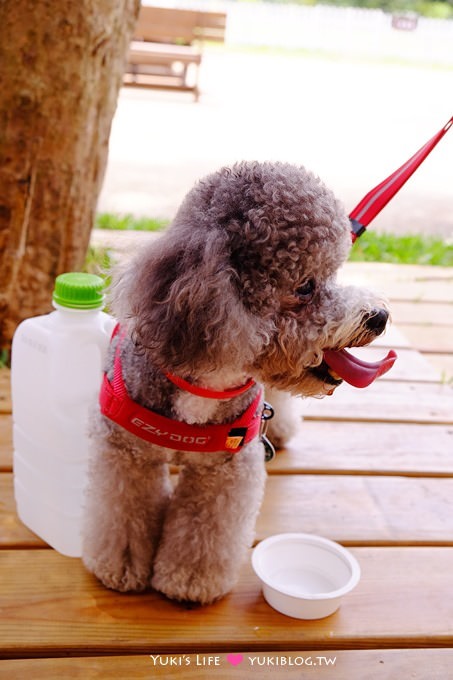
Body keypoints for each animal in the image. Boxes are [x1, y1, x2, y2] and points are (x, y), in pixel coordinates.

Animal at [81, 161, 392, 604]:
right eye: (305, 285)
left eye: (334, 274)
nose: (379, 317)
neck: (207, 380)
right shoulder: (126, 454)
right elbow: (124, 515)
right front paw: (120, 567)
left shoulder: (226, 470)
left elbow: (204, 532)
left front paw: (188, 581)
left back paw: (279, 430)